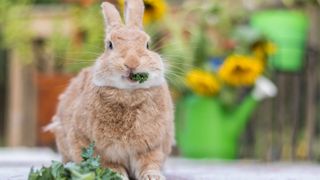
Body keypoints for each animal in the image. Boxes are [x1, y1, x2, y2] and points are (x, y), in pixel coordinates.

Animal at [47, 0, 175, 179]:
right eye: (110, 45)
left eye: (147, 45)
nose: (132, 63)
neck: (129, 94)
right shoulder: (97, 147)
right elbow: (109, 165)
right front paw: (117, 175)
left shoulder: (152, 147)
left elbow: (149, 163)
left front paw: (153, 176)